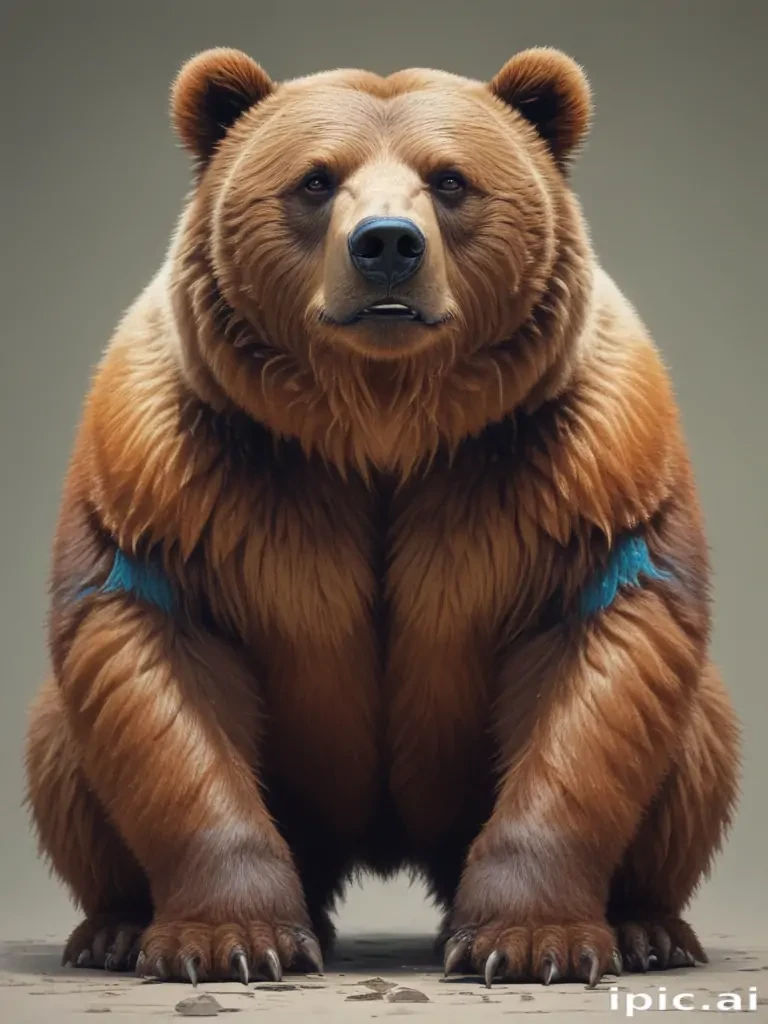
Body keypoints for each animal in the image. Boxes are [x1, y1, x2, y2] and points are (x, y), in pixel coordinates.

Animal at [25, 46, 740, 988]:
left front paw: (532, 942)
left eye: (451, 179)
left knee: (701, 737)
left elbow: (600, 674)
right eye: (315, 179)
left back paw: (648, 926)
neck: (383, 427)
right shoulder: (180, 471)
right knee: (57, 743)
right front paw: (228, 941)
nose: (388, 246)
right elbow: (155, 669)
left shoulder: (577, 467)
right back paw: (112, 928)